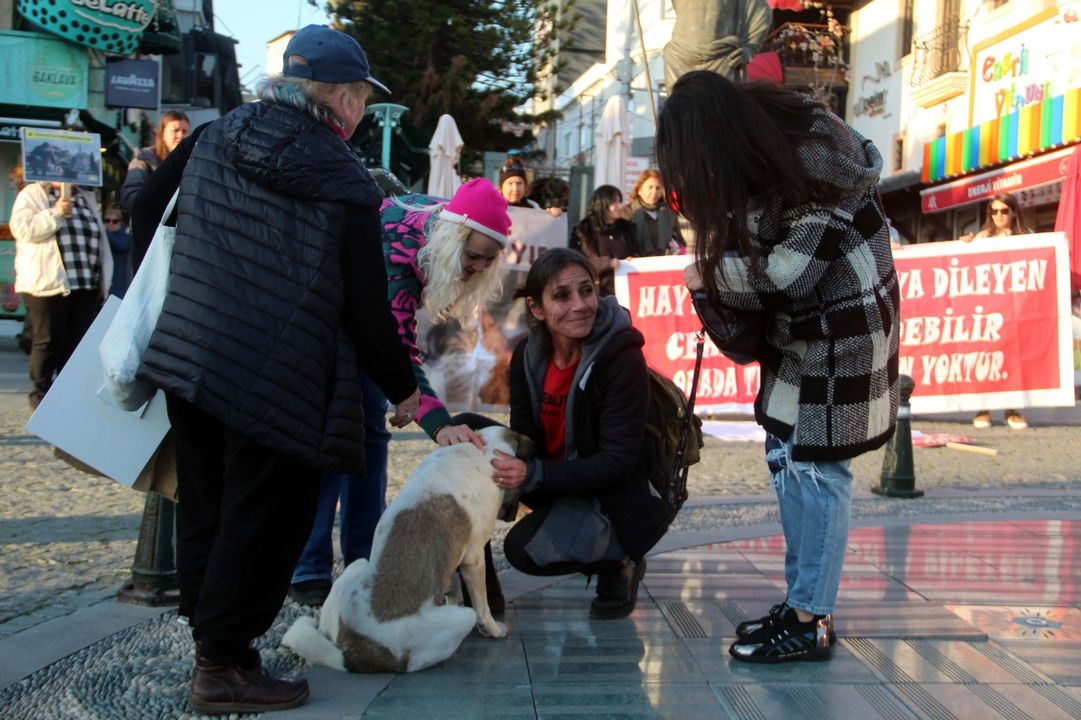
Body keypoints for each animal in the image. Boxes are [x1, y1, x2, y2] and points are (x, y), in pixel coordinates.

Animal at [281, 423, 529, 670]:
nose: (510, 516)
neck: (482, 448)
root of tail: (350, 654)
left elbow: (450, 580)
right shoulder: (474, 557)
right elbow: (482, 606)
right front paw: (493, 630)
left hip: (357, 566)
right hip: (460, 620)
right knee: (466, 617)